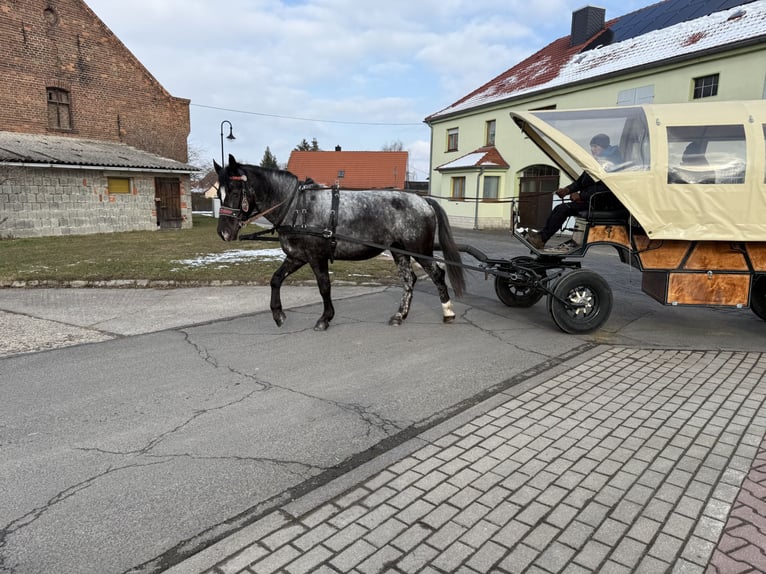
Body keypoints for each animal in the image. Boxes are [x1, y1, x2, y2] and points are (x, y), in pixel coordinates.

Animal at [214, 154, 468, 332]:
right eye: (219, 193)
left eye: (235, 191)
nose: (223, 232)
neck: (297, 207)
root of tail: (423, 200)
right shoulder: (297, 256)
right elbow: (276, 279)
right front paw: (278, 315)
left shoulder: (316, 256)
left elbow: (324, 286)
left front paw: (325, 318)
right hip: (399, 251)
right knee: (409, 279)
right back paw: (400, 315)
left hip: (419, 249)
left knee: (437, 274)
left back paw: (448, 313)